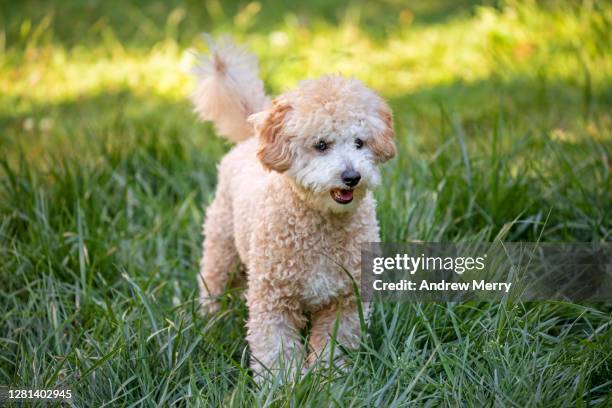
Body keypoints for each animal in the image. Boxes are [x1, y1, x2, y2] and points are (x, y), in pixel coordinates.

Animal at [191, 37, 396, 380]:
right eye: (321, 145)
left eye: (359, 142)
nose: (352, 177)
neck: (321, 224)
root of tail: (252, 138)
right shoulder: (274, 299)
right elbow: (276, 347)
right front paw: (282, 382)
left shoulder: (345, 299)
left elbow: (334, 343)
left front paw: (328, 378)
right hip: (222, 244)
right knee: (213, 279)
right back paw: (209, 318)